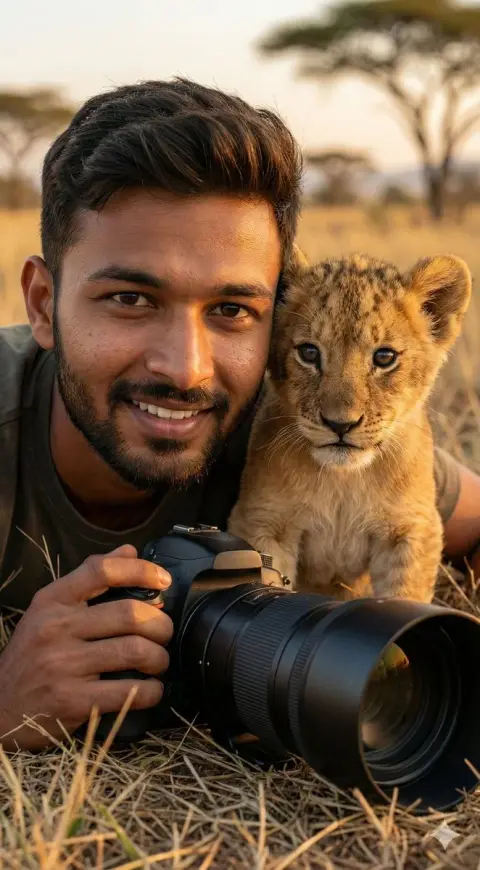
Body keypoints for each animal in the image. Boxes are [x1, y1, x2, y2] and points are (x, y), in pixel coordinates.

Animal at [227, 252, 472, 603]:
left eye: (384, 357)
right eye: (309, 352)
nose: (339, 423)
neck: (343, 481)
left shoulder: (410, 530)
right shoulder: (264, 523)